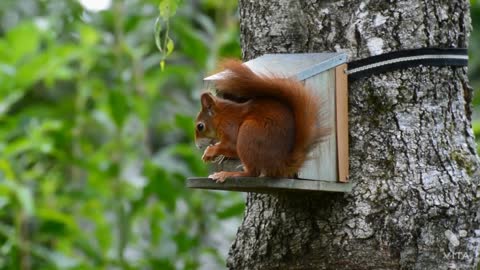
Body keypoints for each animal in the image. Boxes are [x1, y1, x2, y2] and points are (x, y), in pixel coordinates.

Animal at [195, 60, 330, 182]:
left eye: (200, 126)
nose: (197, 146)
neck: (222, 116)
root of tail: (280, 165)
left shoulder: (229, 126)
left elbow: (231, 145)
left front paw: (211, 151)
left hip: (249, 133)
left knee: (253, 173)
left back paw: (228, 174)